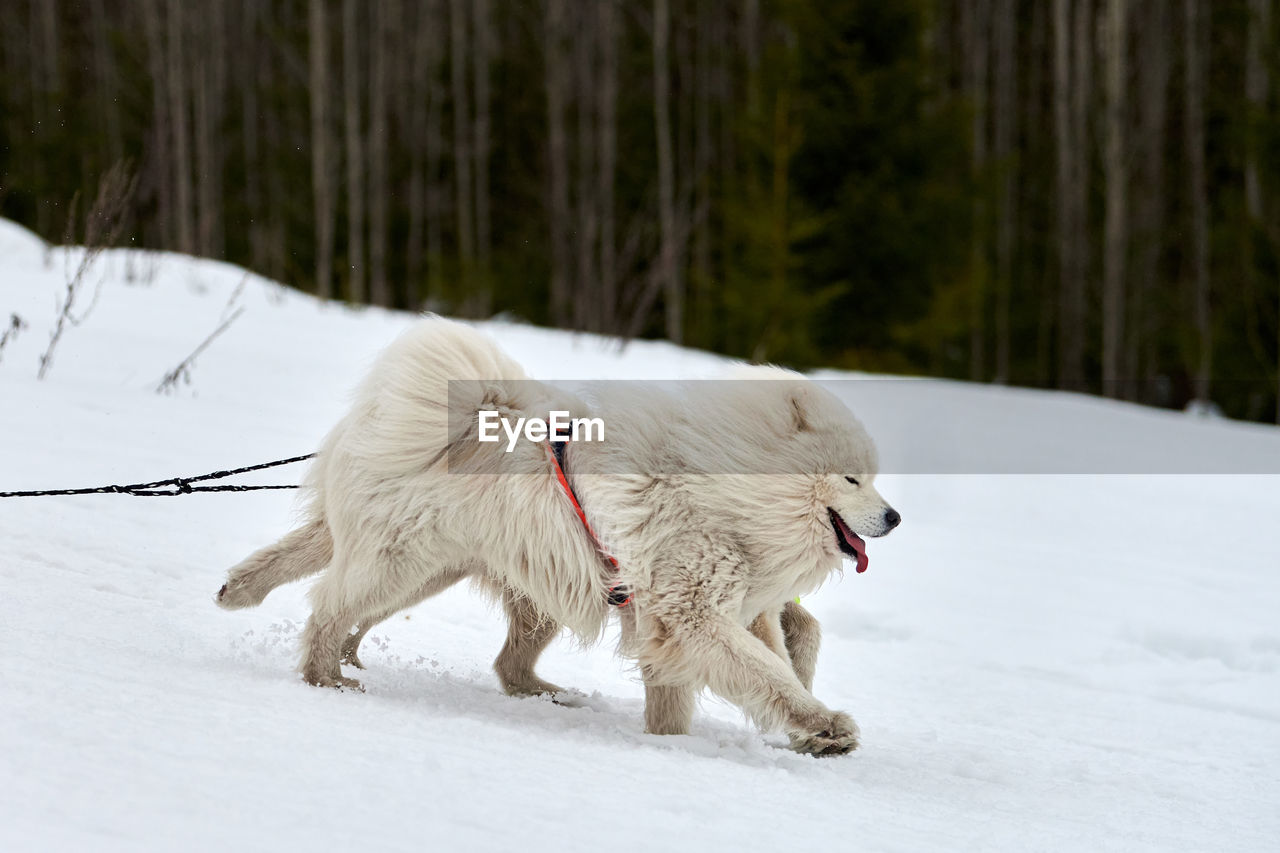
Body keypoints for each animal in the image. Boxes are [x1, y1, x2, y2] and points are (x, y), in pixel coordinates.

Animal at [217, 315, 901, 753]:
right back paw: (325, 677)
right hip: (401, 565)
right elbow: (768, 674)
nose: (894, 518)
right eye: (852, 478)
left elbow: (765, 658)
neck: (723, 486)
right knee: (329, 608)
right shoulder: (691, 612)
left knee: (497, 659)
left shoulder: (701, 610)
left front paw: (672, 742)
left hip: (476, 577)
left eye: (872, 478)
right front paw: (824, 726)